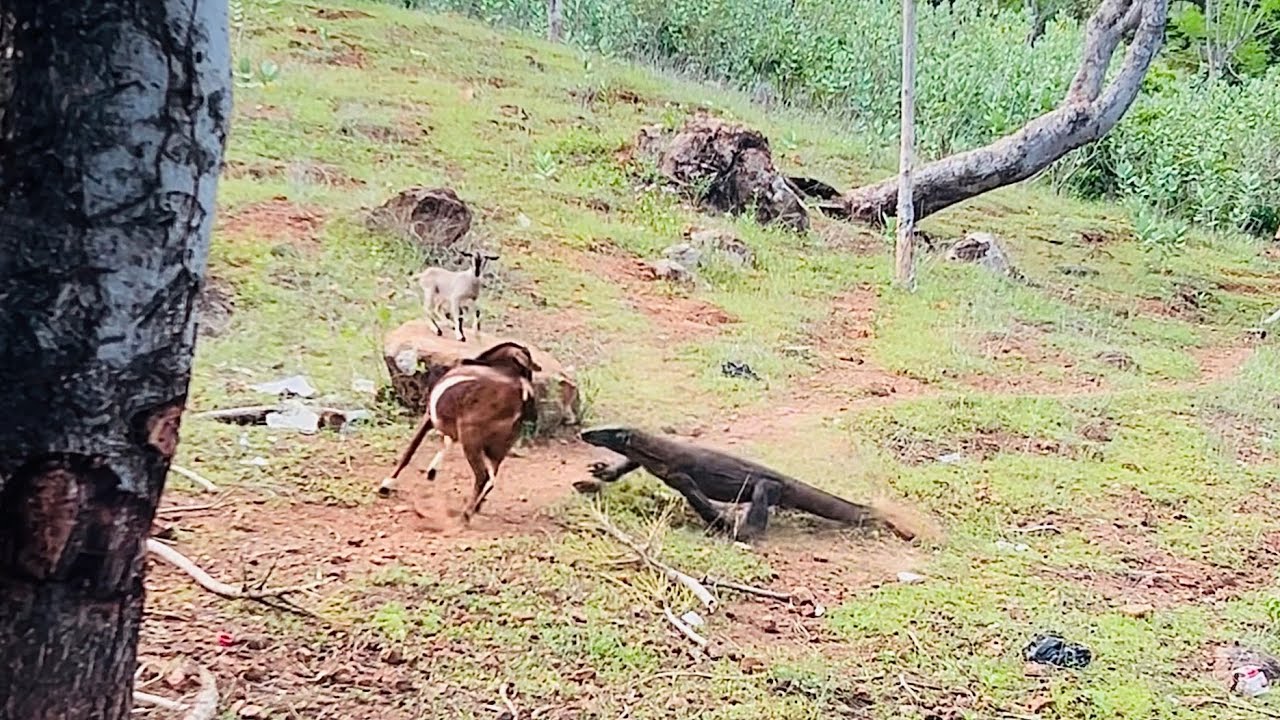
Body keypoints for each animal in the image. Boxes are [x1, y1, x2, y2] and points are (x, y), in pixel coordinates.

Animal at [378, 341, 541, 521]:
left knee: (483, 476)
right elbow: (446, 442)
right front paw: (431, 472)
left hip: (471, 438)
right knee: (492, 478)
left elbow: (409, 451)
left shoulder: (429, 417)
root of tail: (521, 394)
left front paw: (386, 485)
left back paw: (466, 514)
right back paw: (475, 507)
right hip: (499, 447)